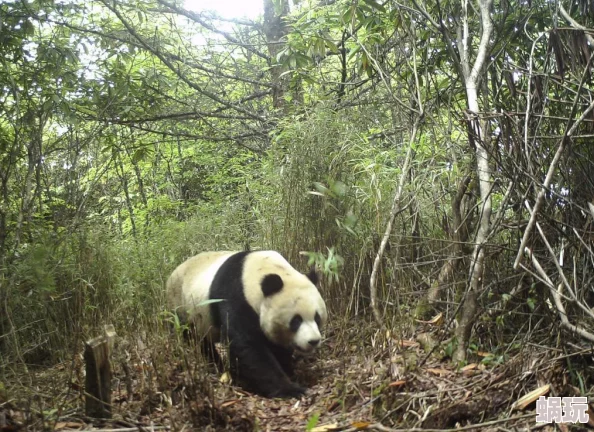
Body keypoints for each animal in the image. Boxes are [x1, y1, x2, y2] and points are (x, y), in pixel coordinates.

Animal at [164, 250, 326, 398]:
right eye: (296, 321)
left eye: (317, 318)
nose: (313, 341)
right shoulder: (235, 298)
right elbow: (247, 347)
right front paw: (290, 389)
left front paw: (287, 368)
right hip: (180, 308)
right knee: (197, 341)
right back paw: (217, 365)